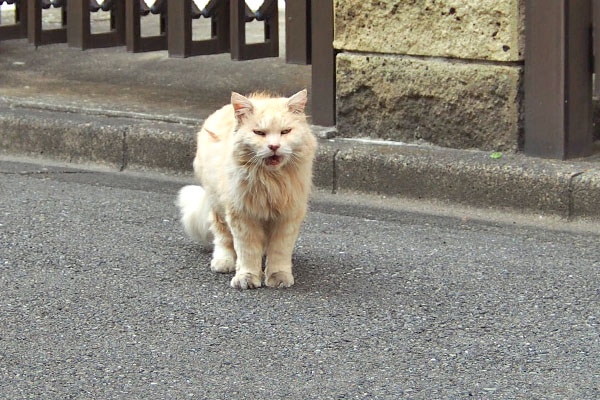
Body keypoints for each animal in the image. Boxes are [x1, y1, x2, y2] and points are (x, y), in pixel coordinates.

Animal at [178, 89, 318, 290]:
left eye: (285, 132)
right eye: (259, 133)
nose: (274, 146)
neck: (271, 181)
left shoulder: (288, 216)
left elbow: (280, 252)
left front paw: (278, 277)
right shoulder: (242, 216)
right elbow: (248, 252)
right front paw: (247, 278)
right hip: (218, 207)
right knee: (222, 239)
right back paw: (224, 262)